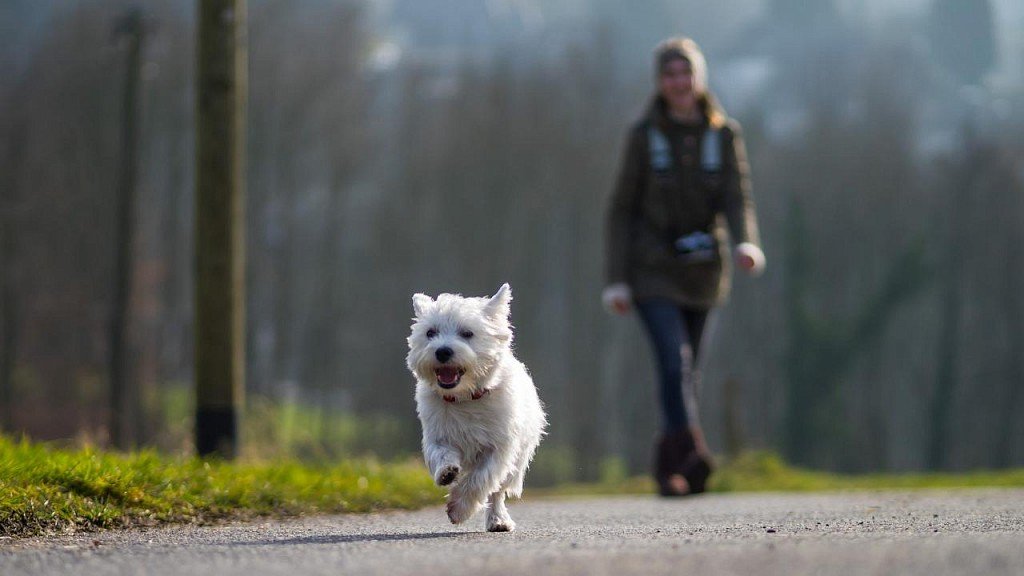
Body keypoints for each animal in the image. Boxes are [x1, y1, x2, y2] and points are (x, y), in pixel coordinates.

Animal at [405, 282, 548, 528]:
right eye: (430, 332)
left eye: (467, 333)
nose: (442, 351)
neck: (464, 397)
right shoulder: (437, 434)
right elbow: (441, 453)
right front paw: (447, 472)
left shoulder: (499, 447)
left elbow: (481, 479)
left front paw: (459, 509)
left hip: (518, 459)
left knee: (498, 491)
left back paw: (498, 520)